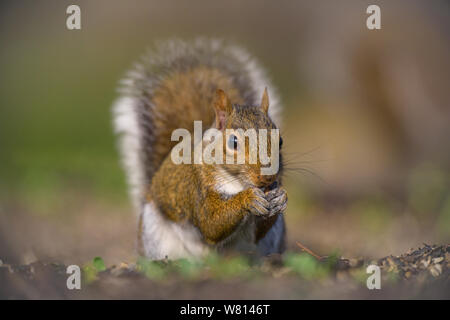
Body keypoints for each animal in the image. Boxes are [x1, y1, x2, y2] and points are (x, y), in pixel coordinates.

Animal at [114, 39, 286, 260]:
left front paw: (280, 197)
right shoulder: (197, 186)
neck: (238, 183)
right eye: (233, 142)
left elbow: (259, 232)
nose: (267, 178)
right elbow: (210, 222)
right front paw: (248, 199)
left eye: (280, 141)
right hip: (155, 233)